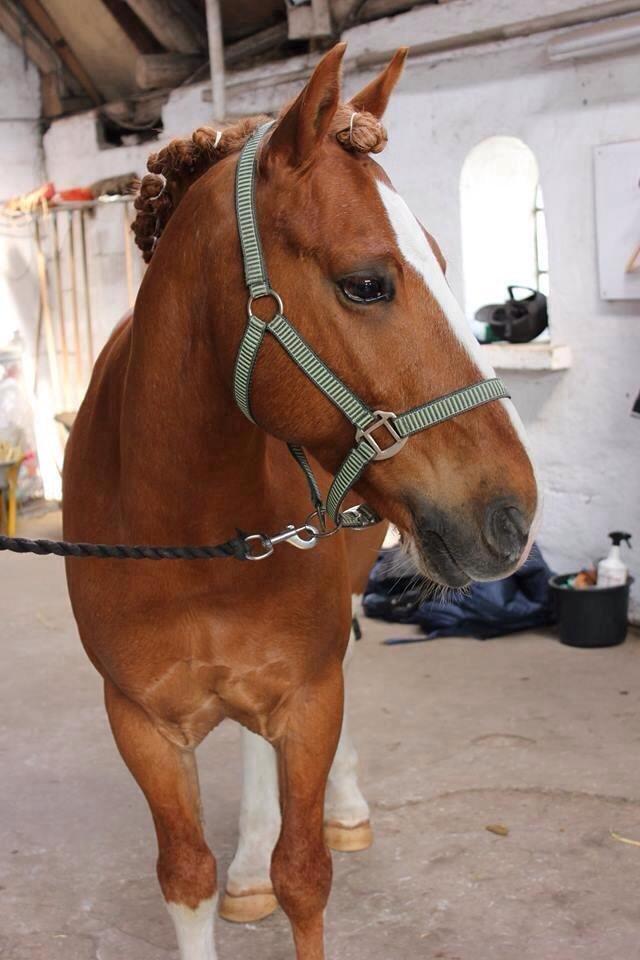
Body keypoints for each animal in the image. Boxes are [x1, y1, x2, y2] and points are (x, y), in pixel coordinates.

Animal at [63, 42, 540, 960]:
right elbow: (186, 878)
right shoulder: (138, 723)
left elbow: (305, 874)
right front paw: (233, 877)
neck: (190, 534)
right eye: (366, 284)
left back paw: (339, 811)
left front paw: (306, 842)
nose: (513, 514)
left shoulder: (311, 697)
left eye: (442, 262)